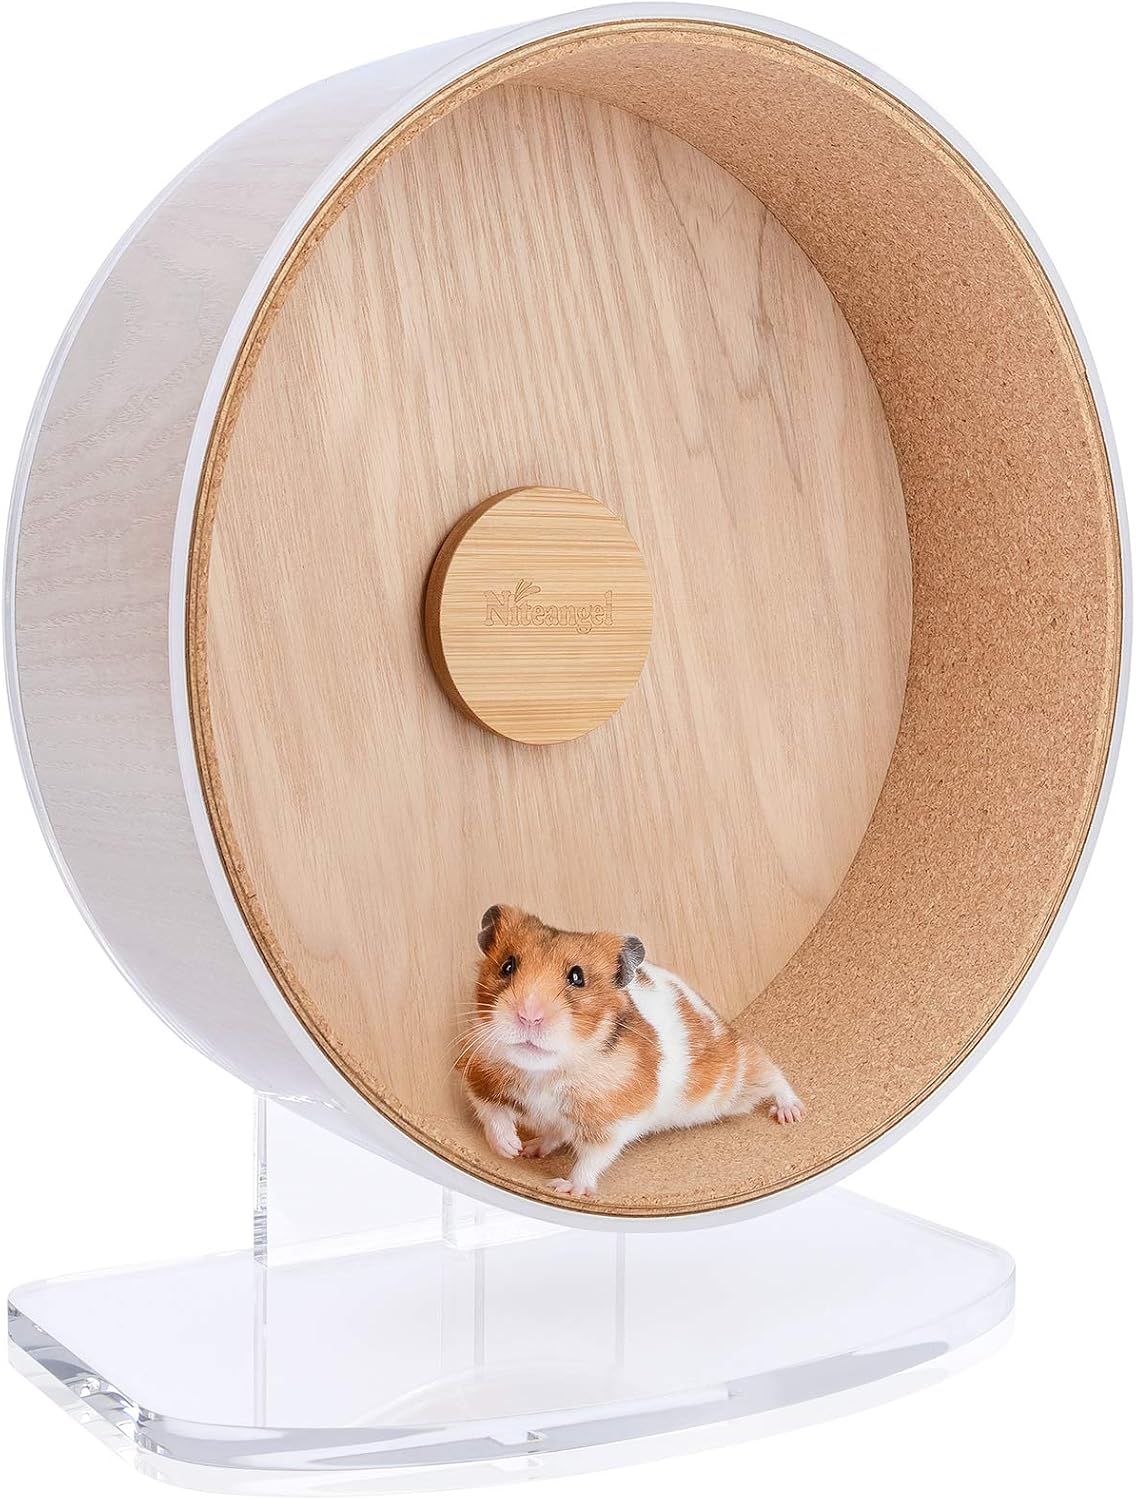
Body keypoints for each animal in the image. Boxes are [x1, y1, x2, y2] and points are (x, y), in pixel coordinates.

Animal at [456, 905, 804, 1199]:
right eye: (507, 966)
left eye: (577, 977)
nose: (529, 1016)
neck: (545, 1071)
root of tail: (721, 1021)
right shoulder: (479, 1076)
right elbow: (492, 1114)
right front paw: (510, 1149)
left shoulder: (615, 1120)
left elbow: (592, 1159)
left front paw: (566, 1189)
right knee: (555, 1133)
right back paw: (533, 1147)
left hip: (738, 1077)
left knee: (772, 1071)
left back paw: (790, 1113)